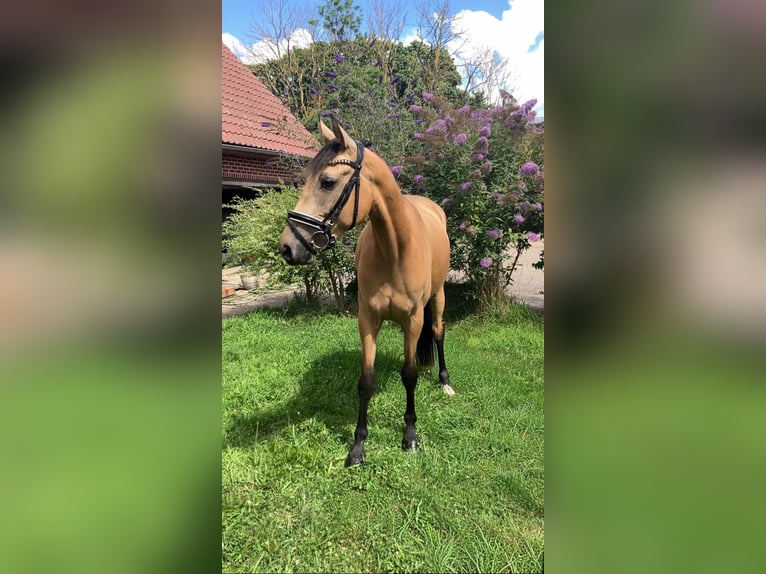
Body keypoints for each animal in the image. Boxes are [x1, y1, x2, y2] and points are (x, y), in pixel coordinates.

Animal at [279, 114, 455, 467]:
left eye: (327, 182)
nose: (288, 248)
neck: (395, 249)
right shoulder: (368, 320)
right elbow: (365, 382)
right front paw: (358, 445)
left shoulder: (413, 321)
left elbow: (410, 375)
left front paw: (410, 435)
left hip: (438, 296)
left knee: (438, 333)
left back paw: (444, 382)